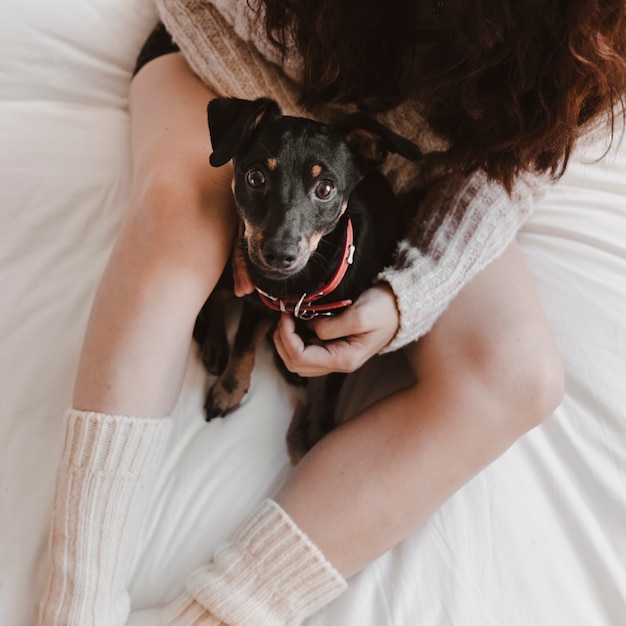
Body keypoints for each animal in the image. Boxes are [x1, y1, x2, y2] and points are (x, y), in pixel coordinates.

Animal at [193, 95, 422, 460]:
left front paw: (318, 431)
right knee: (217, 296)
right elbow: (243, 344)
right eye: (255, 177)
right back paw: (215, 346)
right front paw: (228, 391)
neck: (298, 288)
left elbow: (328, 388)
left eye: (325, 188)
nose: (278, 254)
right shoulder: (259, 300)